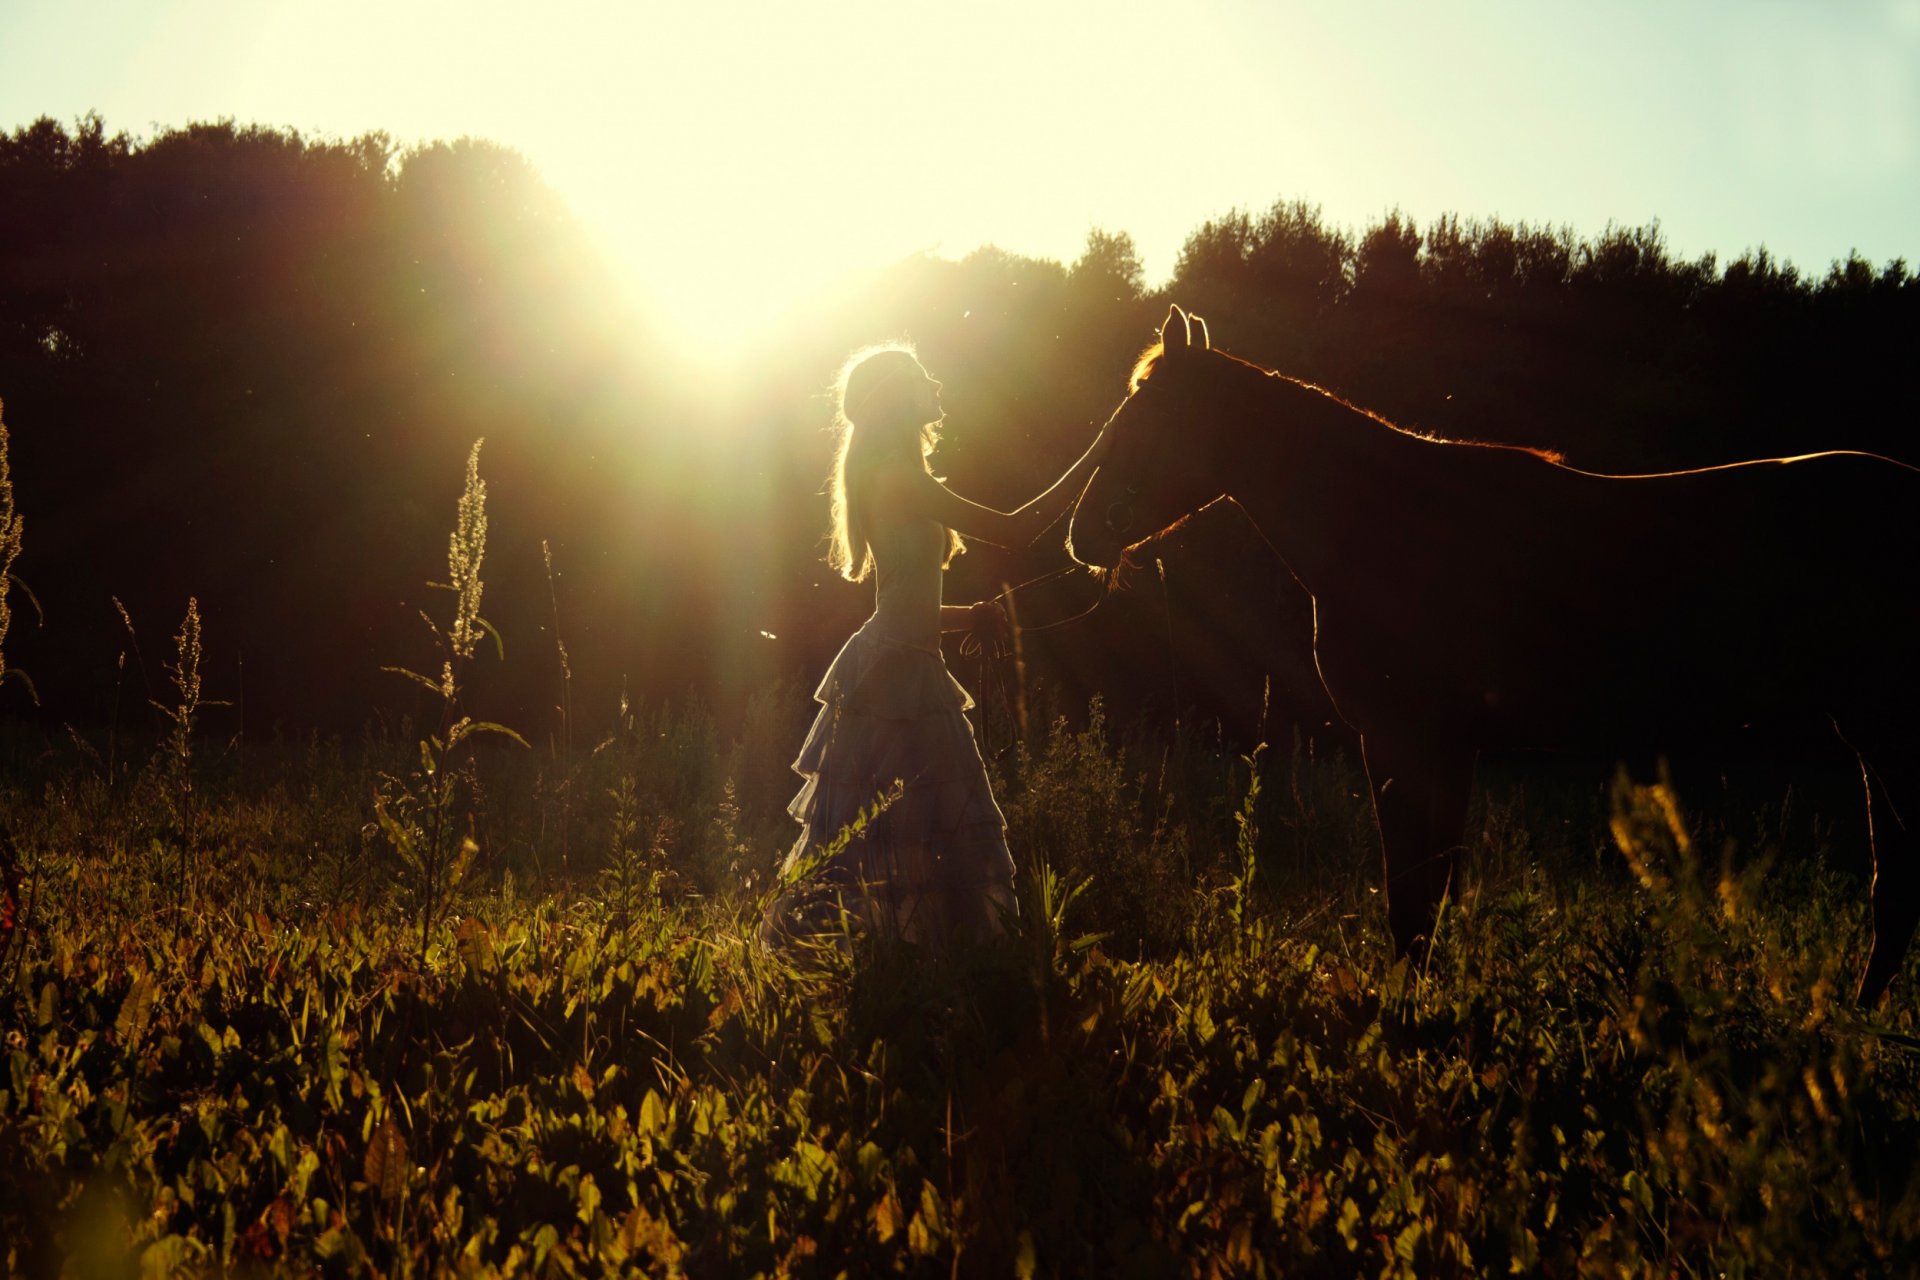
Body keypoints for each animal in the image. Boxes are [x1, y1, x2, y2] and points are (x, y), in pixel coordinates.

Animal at [1075, 305, 1912, 1005]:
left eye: (1149, 416)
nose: (1081, 535)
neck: (1384, 525)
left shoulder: (1406, 740)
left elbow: (1411, 895)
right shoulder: (1447, 748)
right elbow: (1428, 893)